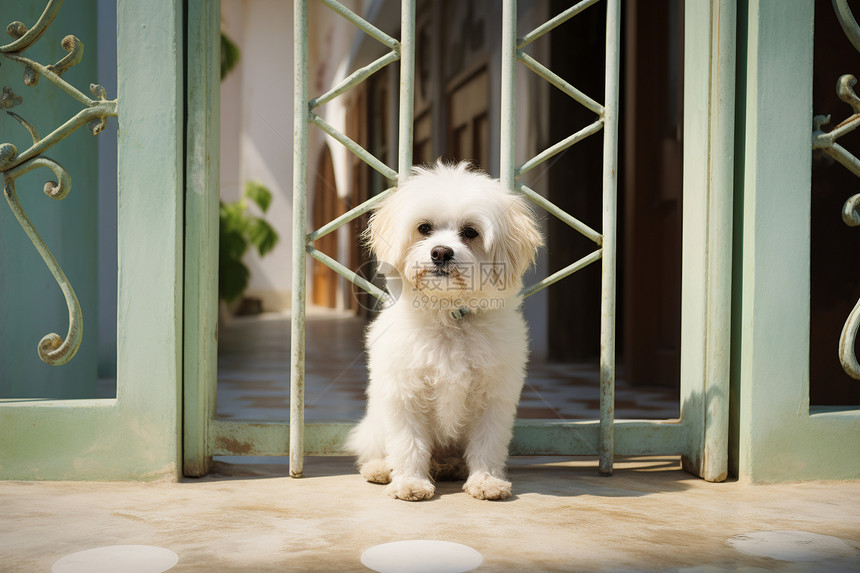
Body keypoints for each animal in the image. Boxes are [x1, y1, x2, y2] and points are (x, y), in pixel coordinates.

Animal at [344, 161, 540, 500]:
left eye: (470, 232)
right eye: (424, 228)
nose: (440, 252)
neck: (448, 315)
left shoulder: (494, 395)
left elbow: (488, 442)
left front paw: (486, 481)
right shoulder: (404, 392)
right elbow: (408, 443)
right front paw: (410, 482)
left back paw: (451, 466)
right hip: (373, 425)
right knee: (379, 448)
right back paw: (381, 469)